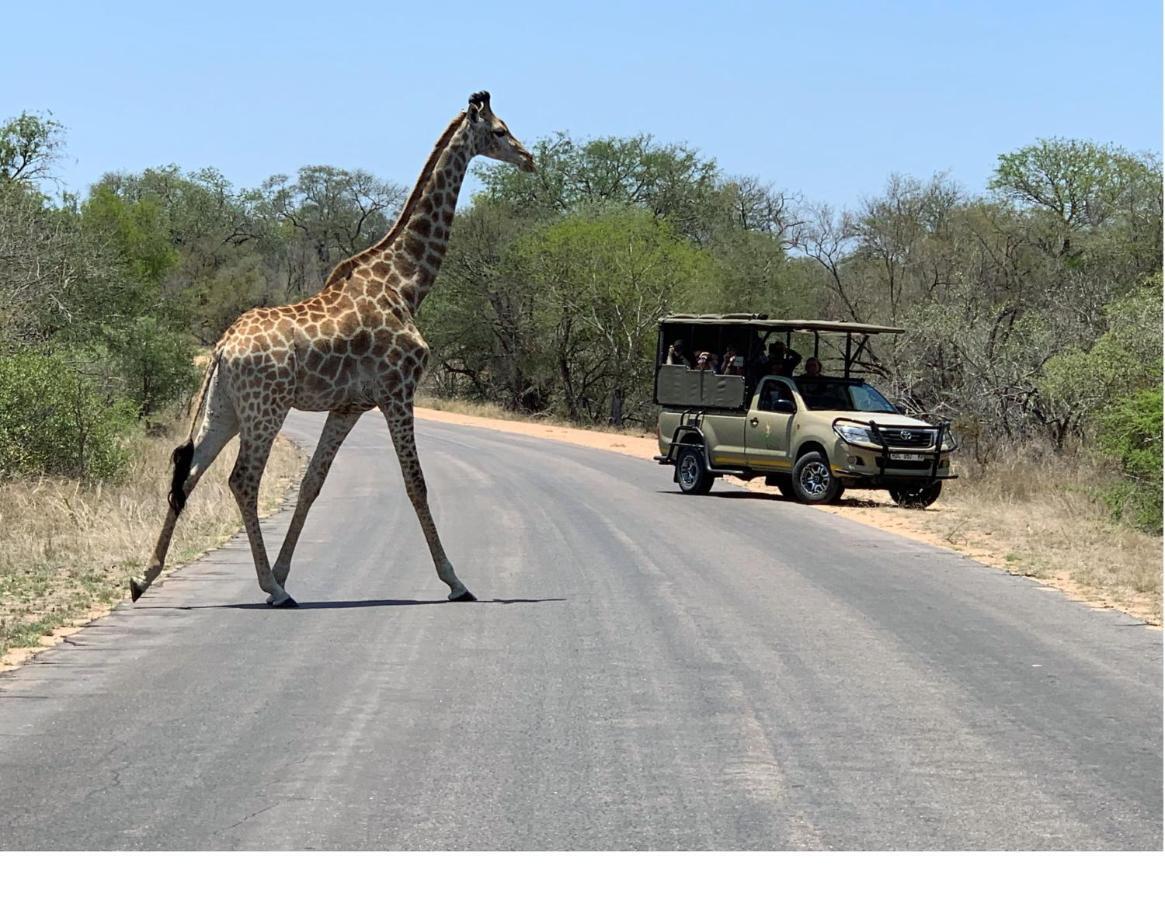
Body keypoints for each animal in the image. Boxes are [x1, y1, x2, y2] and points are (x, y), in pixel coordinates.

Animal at [131, 91, 535, 605]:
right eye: (501, 130)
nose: (529, 158)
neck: (407, 284)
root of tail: (221, 347)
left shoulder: (349, 406)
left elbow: (312, 483)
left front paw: (284, 571)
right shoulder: (397, 391)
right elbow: (416, 484)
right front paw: (456, 581)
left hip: (225, 409)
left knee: (189, 471)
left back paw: (144, 578)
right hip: (266, 409)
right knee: (241, 480)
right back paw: (270, 590)